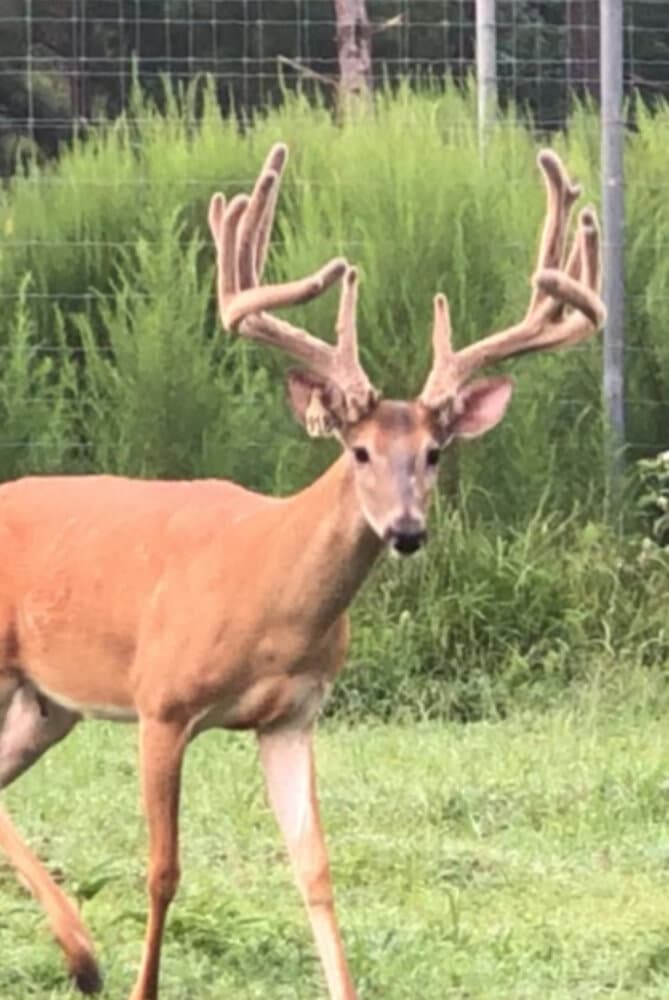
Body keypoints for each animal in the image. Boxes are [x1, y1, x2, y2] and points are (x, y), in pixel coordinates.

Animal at [0, 142, 604, 999]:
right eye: (358, 451)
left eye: (433, 453)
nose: (407, 531)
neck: (269, 596)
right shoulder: (161, 701)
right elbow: (162, 870)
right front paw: (140, 982)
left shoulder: (292, 716)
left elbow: (315, 869)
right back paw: (83, 955)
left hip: (47, 704)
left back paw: (78, 954)